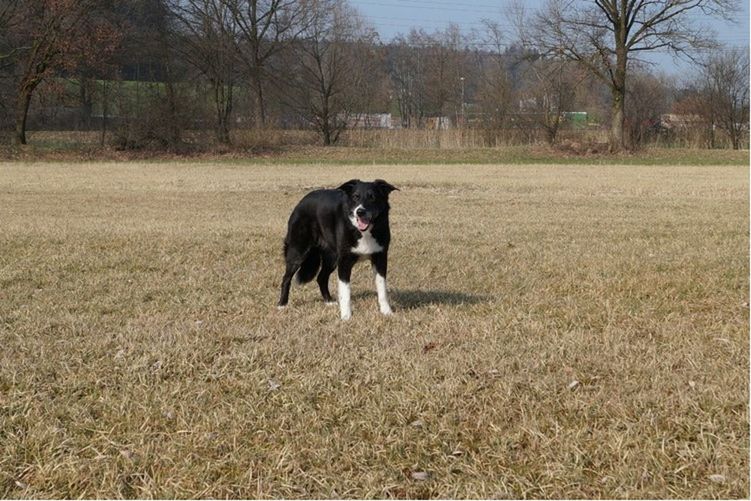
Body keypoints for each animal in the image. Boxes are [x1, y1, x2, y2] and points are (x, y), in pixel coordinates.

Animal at [280, 180, 400, 320]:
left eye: (372, 197)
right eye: (355, 197)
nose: (360, 212)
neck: (363, 232)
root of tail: (302, 201)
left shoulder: (380, 258)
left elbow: (382, 288)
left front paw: (387, 312)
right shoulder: (344, 262)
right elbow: (345, 292)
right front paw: (346, 317)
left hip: (331, 258)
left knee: (321, 278)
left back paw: (328, 301)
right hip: (298, 252)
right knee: (286, 278)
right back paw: (282, 305)